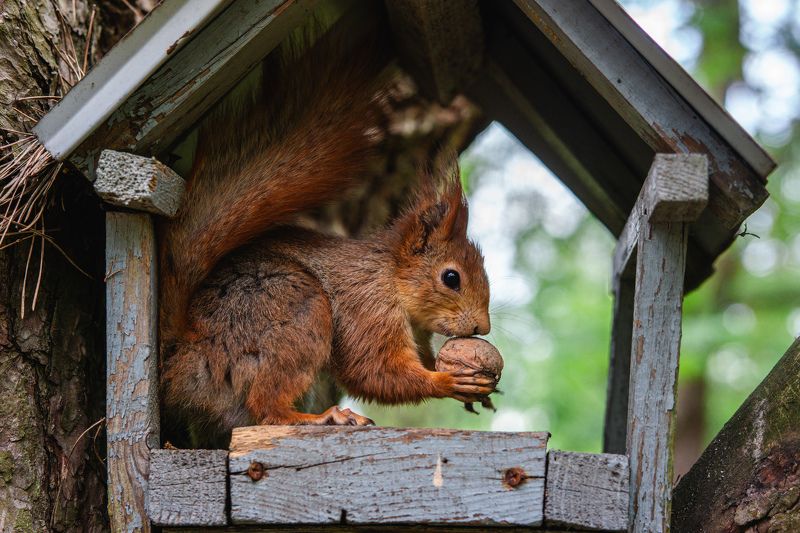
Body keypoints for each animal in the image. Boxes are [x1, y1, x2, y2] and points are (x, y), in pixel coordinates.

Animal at [157, 28, 493, 443]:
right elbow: (375, 371)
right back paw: (322, 418)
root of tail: (184, 354)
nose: (483, 328)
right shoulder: (367, 308)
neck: (391, 278)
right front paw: (448, 381)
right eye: (451, 277)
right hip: (296, 312)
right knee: (267, 408)